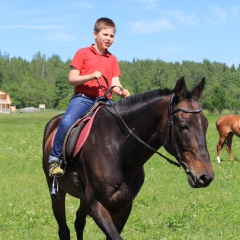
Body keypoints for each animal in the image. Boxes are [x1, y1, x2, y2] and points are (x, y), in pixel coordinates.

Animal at [42, 77, 215, 240]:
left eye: (206, 124)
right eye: (184, 125)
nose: (206, 176)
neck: (117, 149)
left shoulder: (123, 207)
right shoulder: (97, 206)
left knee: (79, 222)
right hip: (57, 191)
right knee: (64, 229)